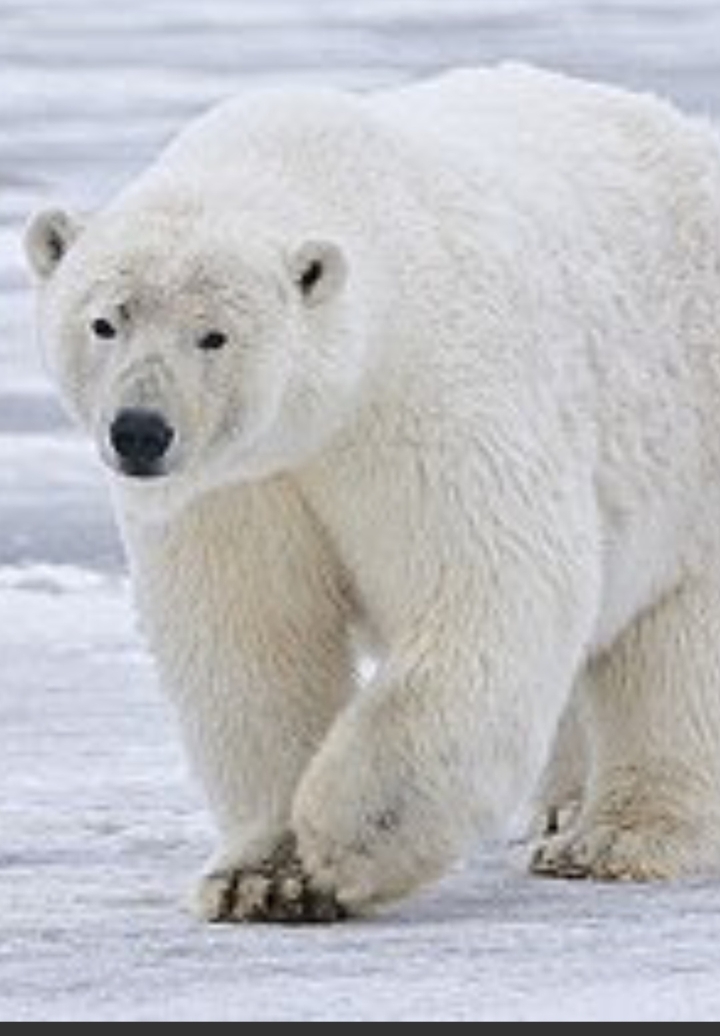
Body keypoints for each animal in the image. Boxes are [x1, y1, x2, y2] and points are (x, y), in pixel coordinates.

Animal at [24, 65, 720, 923]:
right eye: (104, 322)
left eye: (214, 335)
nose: (141, 432)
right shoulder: (238, 485)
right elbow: (252, 637)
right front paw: (261, 878)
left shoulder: (426, 402)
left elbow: (487, 589)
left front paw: (345, 842)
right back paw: (562, 808)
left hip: (690, 442)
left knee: (674, 650)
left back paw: (613, 840)